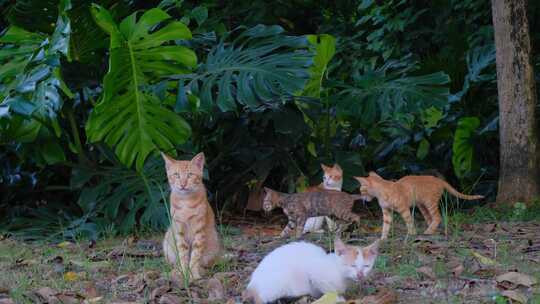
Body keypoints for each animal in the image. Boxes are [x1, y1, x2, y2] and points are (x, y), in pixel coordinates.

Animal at [161, 152, 220, 280]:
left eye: (190, 175)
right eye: (177, 175)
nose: (183, 184)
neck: (185, 202)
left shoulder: (199, 232)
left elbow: (195, 256)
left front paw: (193, 274)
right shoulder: (179, 231)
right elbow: (183, 255)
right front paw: (184, 273)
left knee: (207, 264)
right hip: (168, 239)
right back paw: (176, 271)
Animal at [245, 239, 380, 302]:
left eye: (366, 266)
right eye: (352, 265)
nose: (360, 274)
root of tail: (252, 285)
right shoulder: (314, 272)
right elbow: (328, 290)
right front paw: (338, 298)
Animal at [354, 172, 486, 239]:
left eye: (361, 190)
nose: (362, 198)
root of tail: (439, 180)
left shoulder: (404, 209)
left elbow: (409, 221)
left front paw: (412, 233)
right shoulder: (386, 212)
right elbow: (385, 226)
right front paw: (383, 238)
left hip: (430, 203)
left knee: (437, 217)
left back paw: (428, 232)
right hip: (422, 206)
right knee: (431, 219)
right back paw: (431, 230)